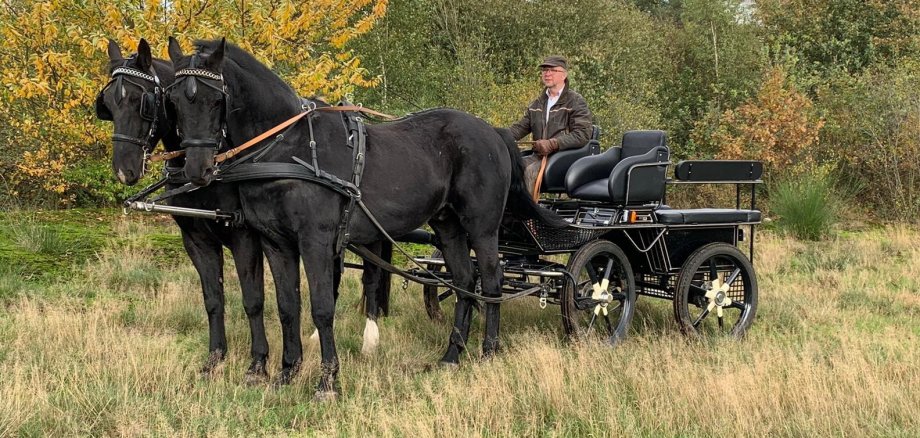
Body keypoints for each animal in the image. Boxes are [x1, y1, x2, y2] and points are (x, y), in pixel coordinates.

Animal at [168, 37, 564, 398]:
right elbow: (287, 306)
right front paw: (286, 373)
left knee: (491, 281)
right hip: (448, 226)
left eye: (216, 99)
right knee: (465, 281)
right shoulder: (275, 243)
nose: (197, 170)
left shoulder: (315, 240)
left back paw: (488, 350)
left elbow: (322, 308)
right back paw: (452, 355)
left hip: (482, 227)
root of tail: (493, 132)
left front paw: (327, 382)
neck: (287, 147)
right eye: (174, 101)